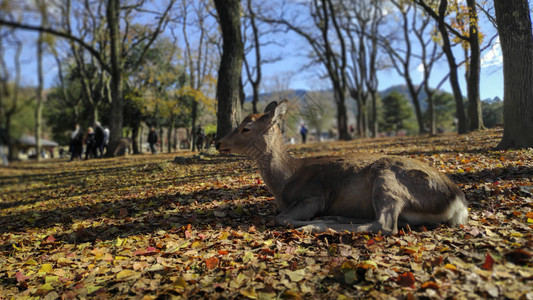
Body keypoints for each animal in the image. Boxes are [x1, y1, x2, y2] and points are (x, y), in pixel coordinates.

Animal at [215, 101, 466, 234]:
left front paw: (306, 223)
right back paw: (335, 218)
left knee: (385, 224)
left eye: (245, 128)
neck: (283, 182)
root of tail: (457, 202)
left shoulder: (313, 196)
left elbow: (281, 218)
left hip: (388, 178)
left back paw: (320, 224)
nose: (217, 142)